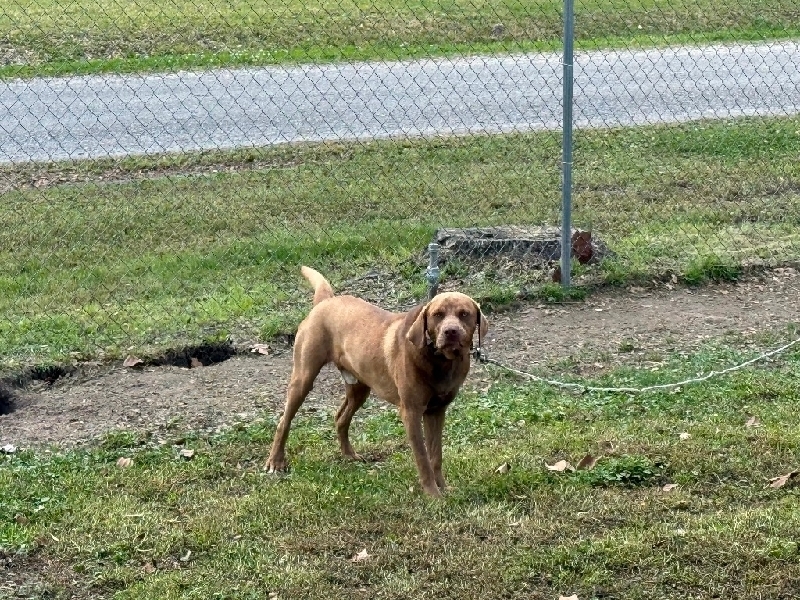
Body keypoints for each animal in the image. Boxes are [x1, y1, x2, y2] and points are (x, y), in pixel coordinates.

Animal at [266, 266, 488, 497]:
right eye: (438, 315)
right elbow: (423, 458)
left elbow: (436, 455)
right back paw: (276, 462)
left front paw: (443, 488)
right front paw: (433, 494)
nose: (450, 331)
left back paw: (349, 455)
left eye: (464, 314)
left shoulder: (436, 411)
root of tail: (326, 301)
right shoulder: (411, 412)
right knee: (284, 421)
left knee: (341, 418)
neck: (440, 361)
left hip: (359, 387)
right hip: (304, 377)